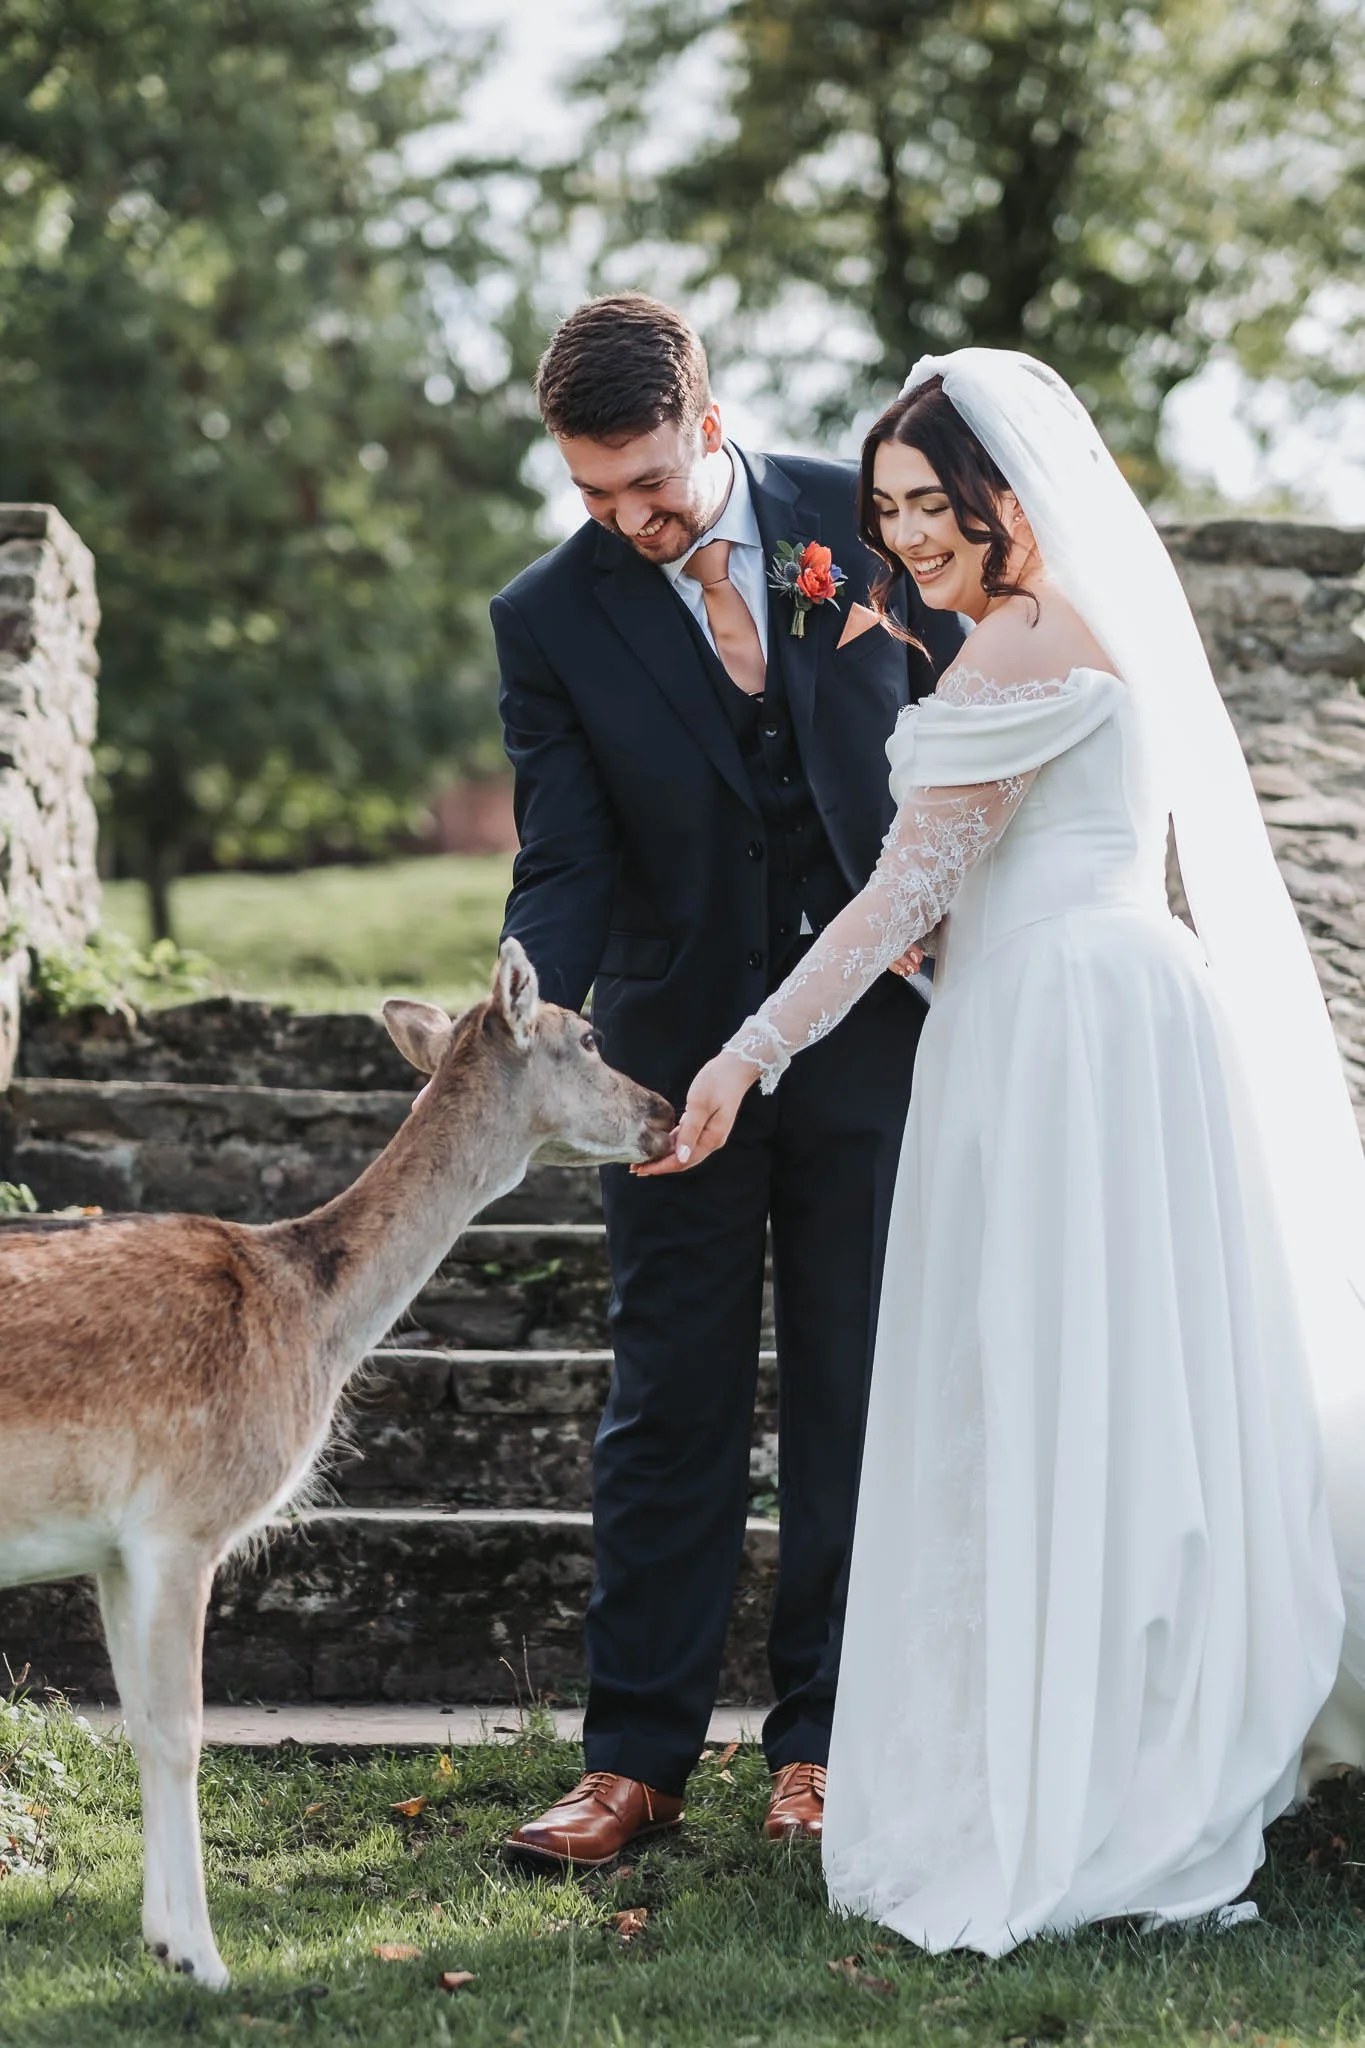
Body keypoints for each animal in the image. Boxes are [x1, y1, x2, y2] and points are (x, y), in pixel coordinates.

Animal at [0, 940, 674, 1989]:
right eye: (592, 1036)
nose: (668, 1108)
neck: (307, 1320)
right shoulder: (182, 1522)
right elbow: (180, 1733)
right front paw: (206, 1963)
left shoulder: (112, 1550)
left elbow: (141, 1727)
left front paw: (162, 1942)